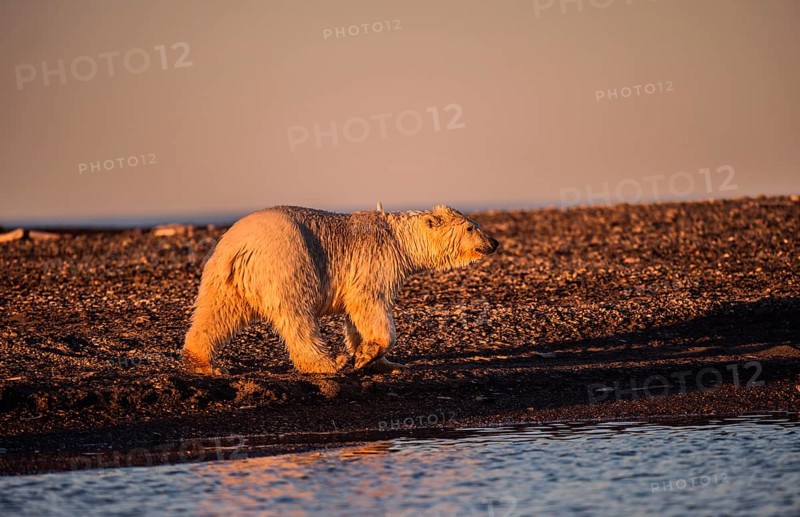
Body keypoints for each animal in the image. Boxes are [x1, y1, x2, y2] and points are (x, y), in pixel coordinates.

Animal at [182, 204, 499, 375]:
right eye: (471, 228)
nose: (494, 242)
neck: (398, 239)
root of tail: (240, 246)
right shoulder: (375, 260)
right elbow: (369, 304)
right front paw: (365, 356)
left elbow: (356, 319)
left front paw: (384, 362)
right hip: (289, 262)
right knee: (298, 317)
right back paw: (329, 363)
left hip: (222, 276)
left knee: (215, 313)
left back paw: (202, 362)